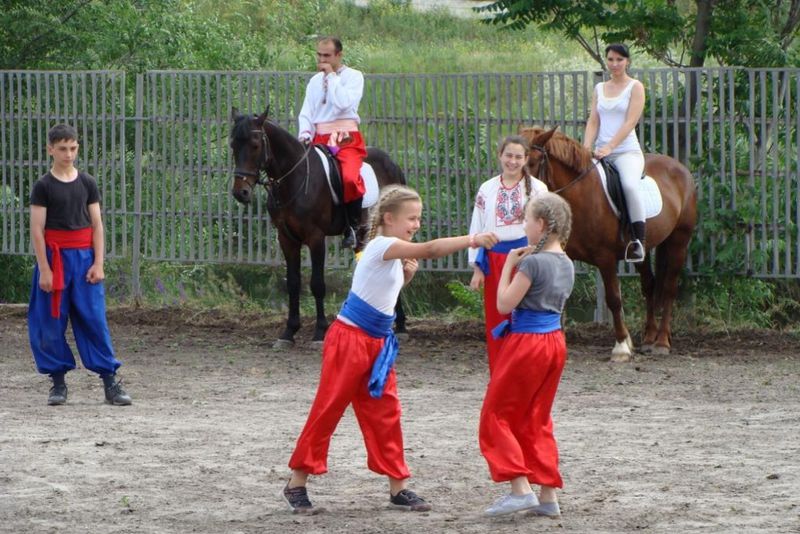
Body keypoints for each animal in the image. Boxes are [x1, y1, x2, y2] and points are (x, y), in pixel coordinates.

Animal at [230, 111, 406, 350]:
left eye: (256, 145)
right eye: (233, 145)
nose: (241, 192)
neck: (293, 178)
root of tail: (393, 164)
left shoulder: (315, 237)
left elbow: (317, 284)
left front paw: (320, 332)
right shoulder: (287, 239)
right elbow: (293, 283)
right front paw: (289, 332)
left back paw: (402, 326)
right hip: (364, 236)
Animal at [520, 126, 696, 360]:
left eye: (532, 162)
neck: (581, 194)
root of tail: (680, 168)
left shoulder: (605, 258)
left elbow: (613, 299)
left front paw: (621, 346)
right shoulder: (566, 255)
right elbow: (561, 298)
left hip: (679, 242)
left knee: (668, 288)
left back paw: (661, 342)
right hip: (643, 250)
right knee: (649, 285)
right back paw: (649, 338)